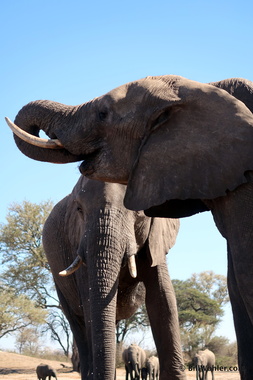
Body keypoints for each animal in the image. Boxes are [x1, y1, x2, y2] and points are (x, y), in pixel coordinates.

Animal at [42, 175, 183, 380]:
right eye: (79, 209)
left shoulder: (156, 238)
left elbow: (162, 301)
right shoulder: (78, 243)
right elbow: (90, 307)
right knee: (78, 324)